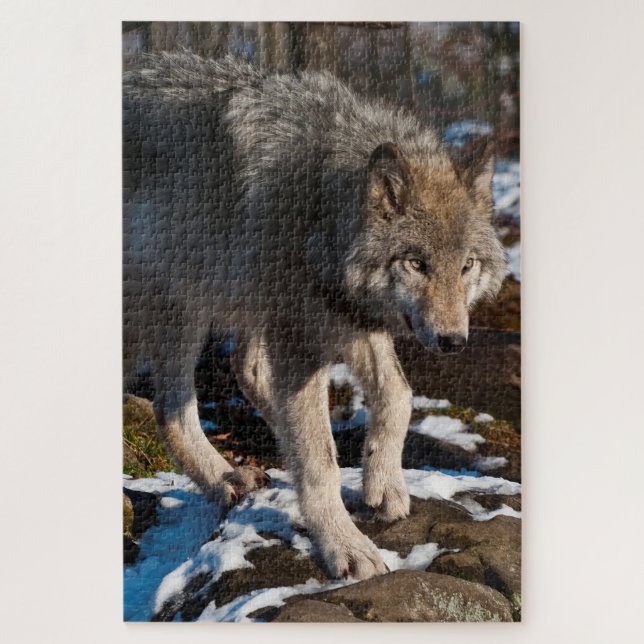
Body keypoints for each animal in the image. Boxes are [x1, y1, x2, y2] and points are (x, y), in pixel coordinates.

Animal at [123, 52, 507, 580]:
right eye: (416, 263)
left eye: (466, 265)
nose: (453, 341)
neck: (319, 212)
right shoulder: (302, 338)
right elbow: (320, 460)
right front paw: (345, 546)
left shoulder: (347, 319)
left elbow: (398, 395)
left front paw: (383, 483)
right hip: (177, 305)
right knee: (173, 407)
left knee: (233, 377)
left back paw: (231, 475)